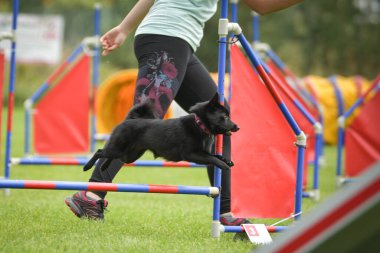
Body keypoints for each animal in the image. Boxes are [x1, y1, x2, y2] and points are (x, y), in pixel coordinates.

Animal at [83, 93, 239, 172]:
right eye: (225, 117)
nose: (237, 127)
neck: (200, 125)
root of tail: (128, 119)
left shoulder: (202, 152)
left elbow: (215, 155)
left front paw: (226, 160)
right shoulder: (192, 154)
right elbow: (212, 158)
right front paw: (223, 165)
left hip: (129, 155)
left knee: (114, 157)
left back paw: (103, 166)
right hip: (118, 148)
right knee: (99, 151)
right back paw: (87, 166)